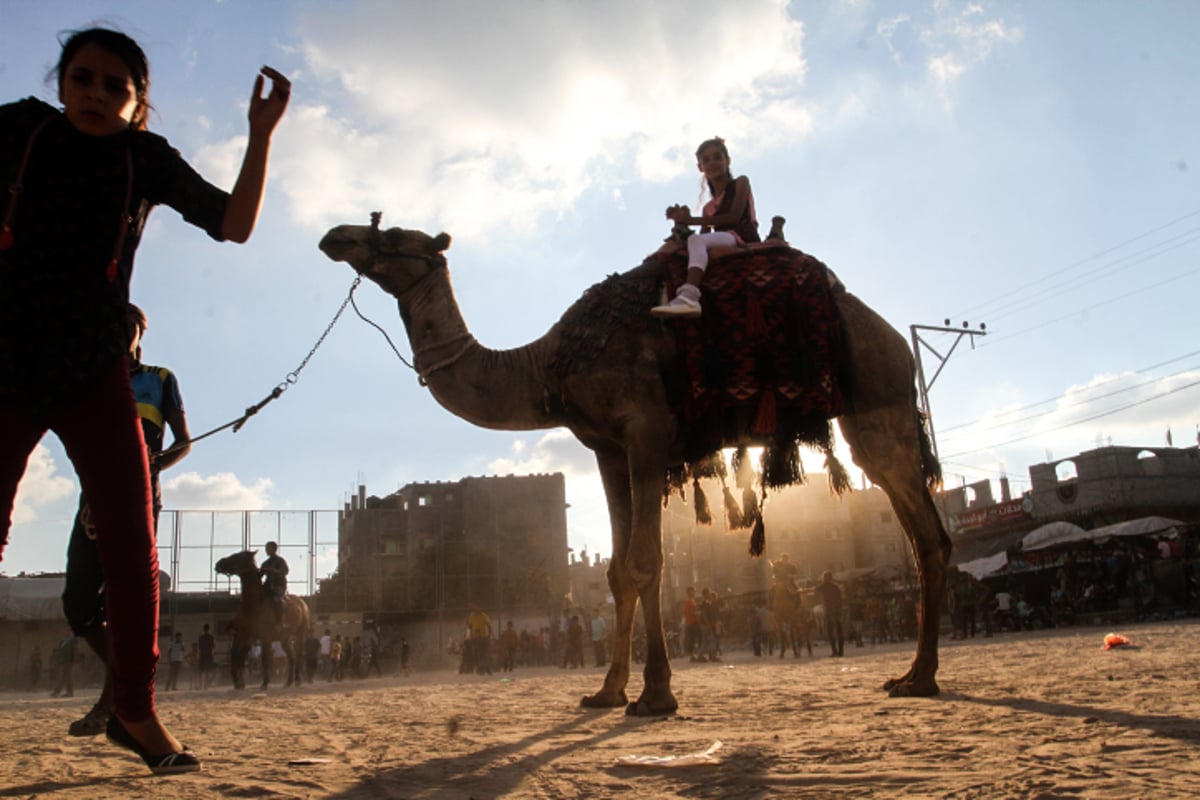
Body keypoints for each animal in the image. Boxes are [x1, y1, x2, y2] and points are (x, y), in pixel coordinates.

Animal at [214, 551, 312, 690]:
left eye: (238, 556)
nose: (219, 563)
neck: (253, 604)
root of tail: (302, 604)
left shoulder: (265, 638)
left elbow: (264, 659)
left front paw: (264, 683)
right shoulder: (243, 635)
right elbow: (237, 656)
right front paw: (238, 682)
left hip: (300, 634)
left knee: (298, 654)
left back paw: (297, 680)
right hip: (285, 638)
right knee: (291, 656)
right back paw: (288, 682)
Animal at [321, 220, 955, 714]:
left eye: (394, 235)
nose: (336, 236)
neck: (549, 364)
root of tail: (894, 337)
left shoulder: (646, 429)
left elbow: (648, 561)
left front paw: (655, 695)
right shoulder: (606, 448)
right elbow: (617, 572)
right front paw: (607, 691)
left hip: (876, 392)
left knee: (925, 531)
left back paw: (921, 678)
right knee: (916, 523)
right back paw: (910, 673)